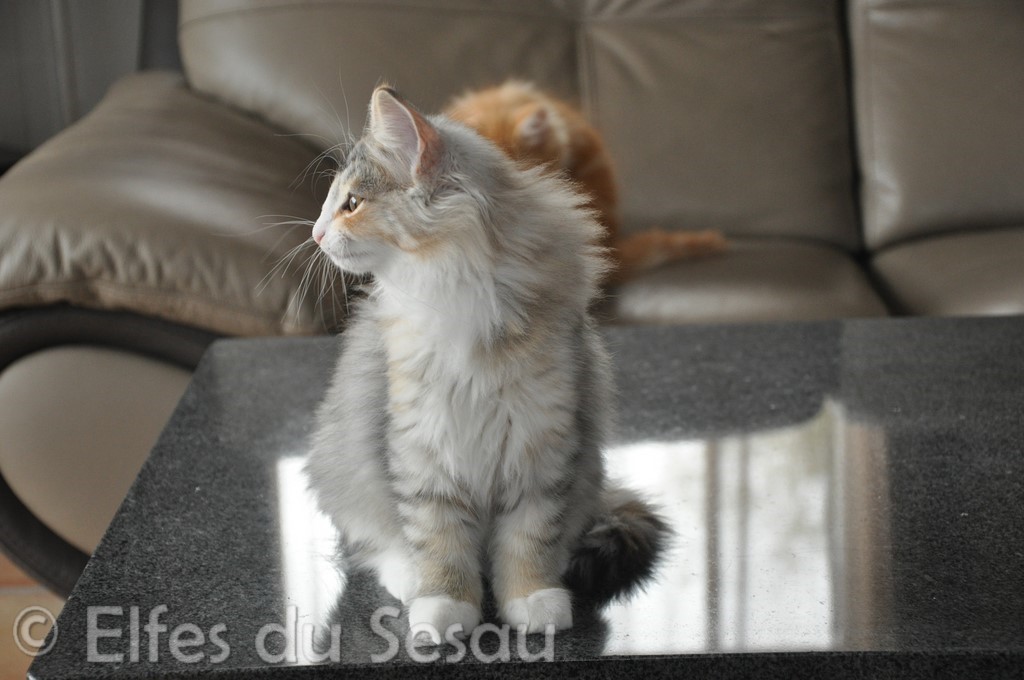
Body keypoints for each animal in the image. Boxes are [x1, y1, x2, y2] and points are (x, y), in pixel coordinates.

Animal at [305, 86, 668, 643]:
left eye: (352, 203)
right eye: (335, 202)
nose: (317, 234)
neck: (458, 292)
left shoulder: (542, 442)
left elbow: (530, 536)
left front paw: (533, 599)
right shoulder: (422, 447)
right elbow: (437, 536)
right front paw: (444, 606)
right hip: (341, 465)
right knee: (374, 542)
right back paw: (409, 579)